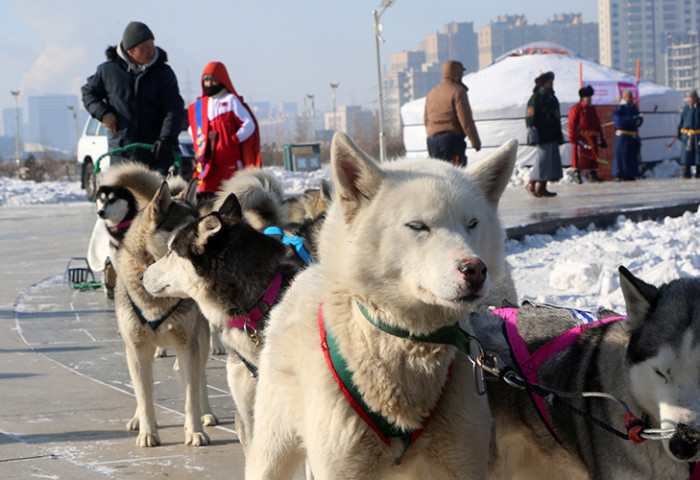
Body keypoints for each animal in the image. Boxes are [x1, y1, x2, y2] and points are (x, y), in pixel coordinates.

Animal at [243, 133, 516, 478]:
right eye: (418, 226)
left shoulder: (462, 462)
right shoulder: (342, 468)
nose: (476, 270)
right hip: (273, 448)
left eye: (472, 223)